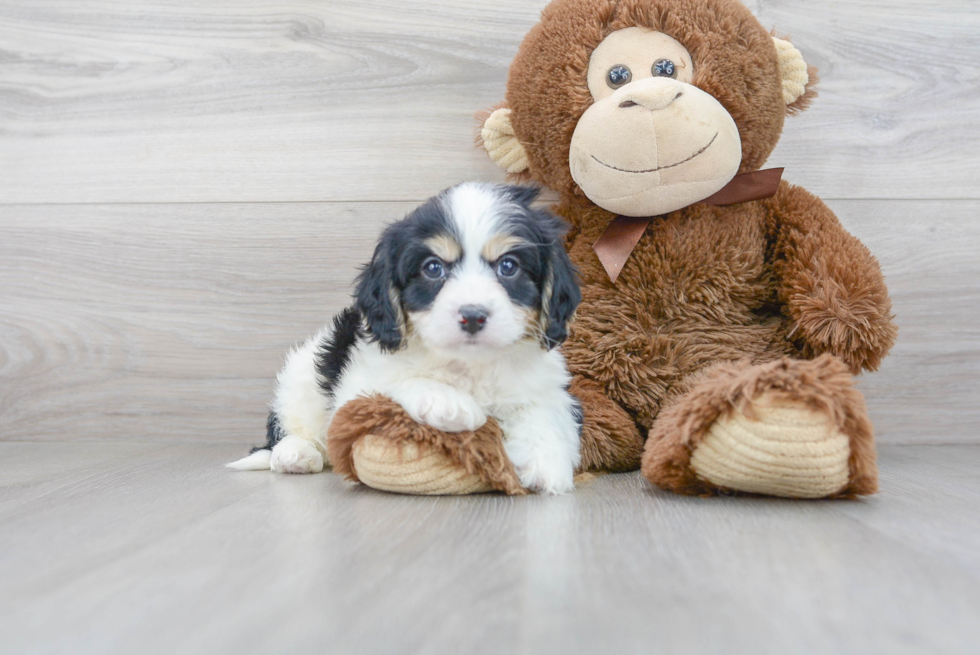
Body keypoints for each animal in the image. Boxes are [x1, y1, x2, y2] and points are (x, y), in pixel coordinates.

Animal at [230, 182, 580, 494]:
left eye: (509, 266)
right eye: (433, 268)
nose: (473, 315)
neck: (468, 363)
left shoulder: (543, 384)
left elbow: (544, 412)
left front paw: (546, 460)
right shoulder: (358, 382)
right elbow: (394, 380)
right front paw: (447, 401)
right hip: (301, 378)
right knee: (289, 427)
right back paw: (294, 454)